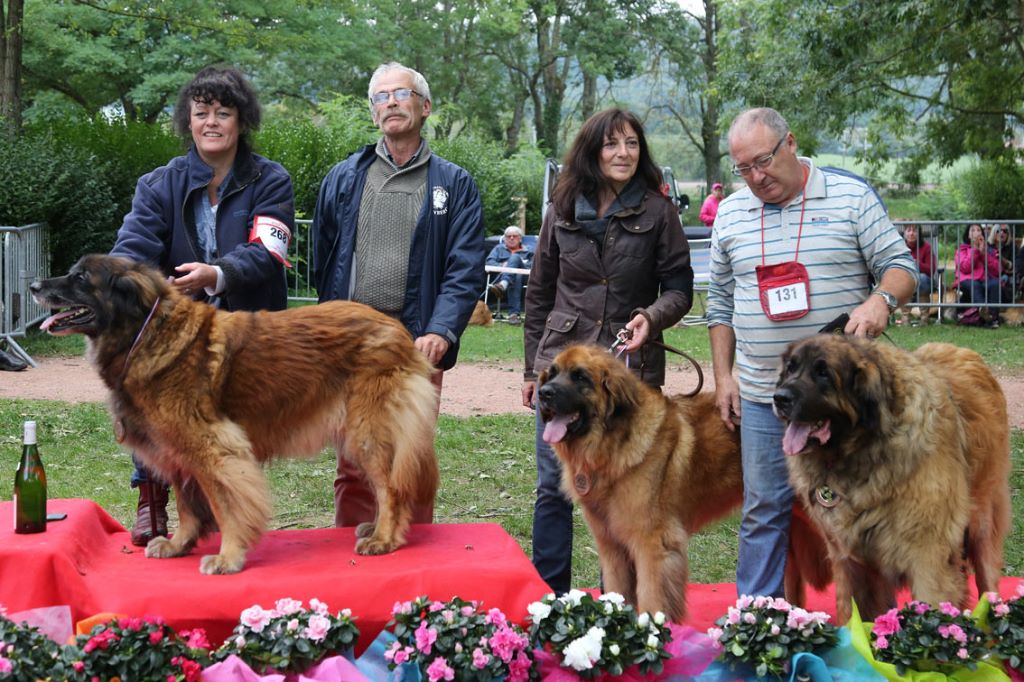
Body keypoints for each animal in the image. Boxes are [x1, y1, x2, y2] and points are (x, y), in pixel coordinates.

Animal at [29, 254, 438, 573]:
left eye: (81, 278)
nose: (33, 285)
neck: (145, 334)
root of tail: (398, 331)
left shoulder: (213, 447)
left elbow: (226, 505)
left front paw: (228, 557)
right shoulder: (179, 450)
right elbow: (187, 506)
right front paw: (179, 543)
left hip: (367, 430)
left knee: (391, 488)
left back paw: (384, 537)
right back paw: (375, 528)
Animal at [532, 342, 827, 618]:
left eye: (580, 377)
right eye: (552, 374)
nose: (543, 393)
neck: (611, 446)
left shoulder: (652, 543)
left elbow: (650, 597)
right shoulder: (611, 546)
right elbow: (617, 593)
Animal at [774, 333, 1007, 622]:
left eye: (823, 373)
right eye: (790, 368)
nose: (779, 398)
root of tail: (964, 352)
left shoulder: (928, 558)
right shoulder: (848, 560)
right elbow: (852, 614)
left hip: (983, 523)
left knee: (988, 584)